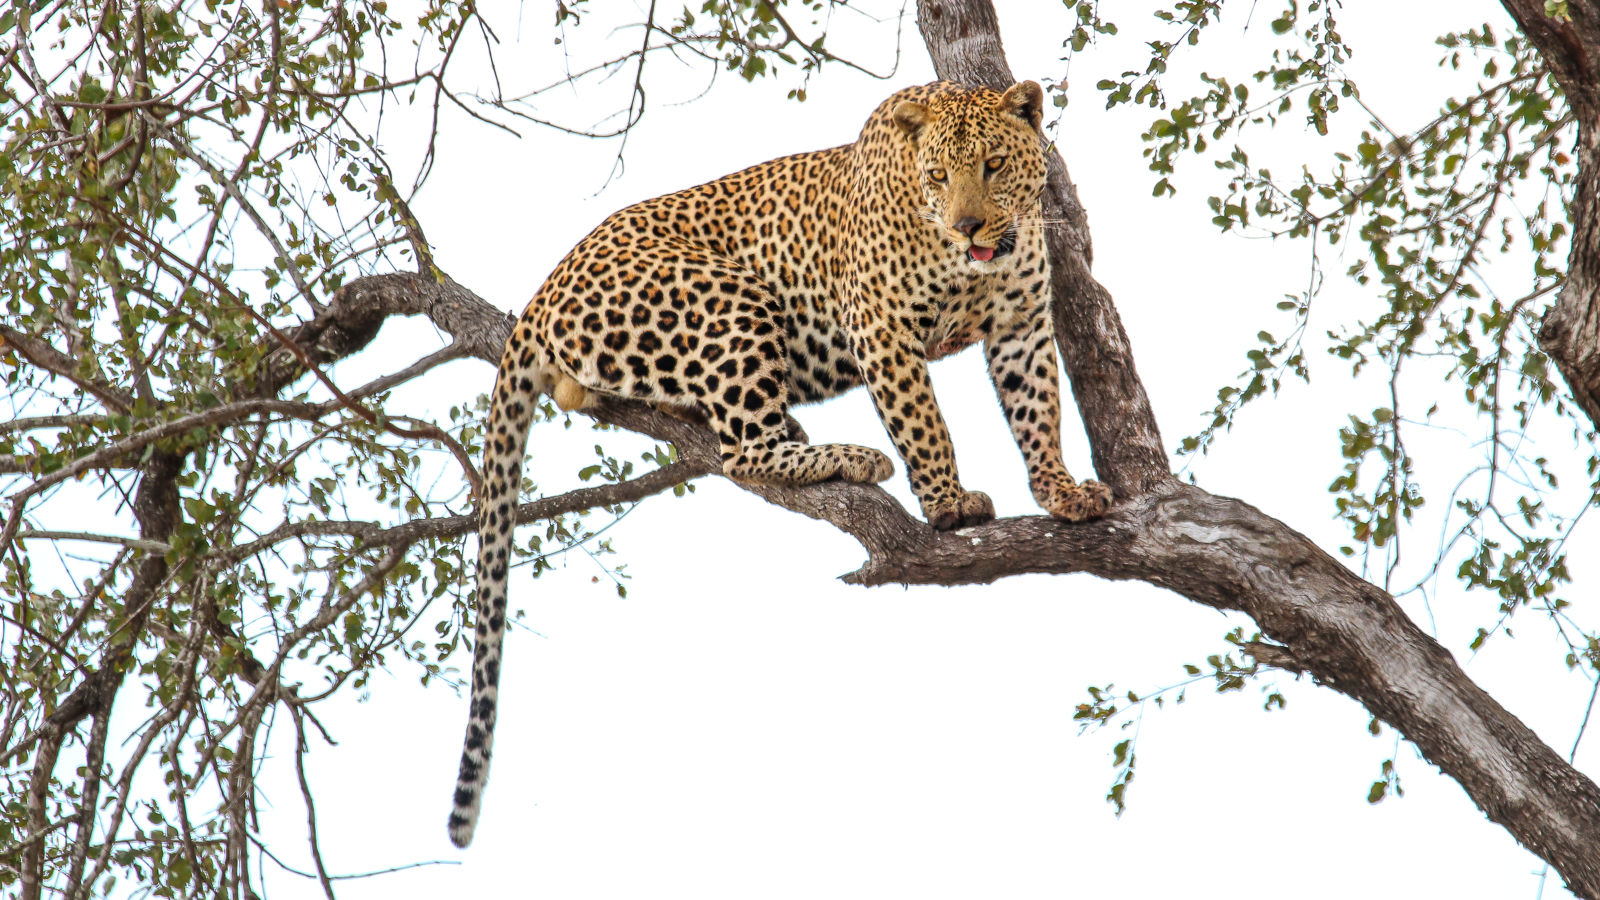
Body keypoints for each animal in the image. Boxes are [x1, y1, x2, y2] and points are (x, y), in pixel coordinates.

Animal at [447, 80, 1113, 848]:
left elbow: (1039, 413)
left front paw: (1061, 491)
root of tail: (542, 291)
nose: (968, 226)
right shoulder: (881, 325)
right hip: (731, 298)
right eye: (939, 177)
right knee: (744, 449)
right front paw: (948, 502)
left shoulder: (1022, 326)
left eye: (994, 166)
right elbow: (924, 421)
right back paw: (853, 456)